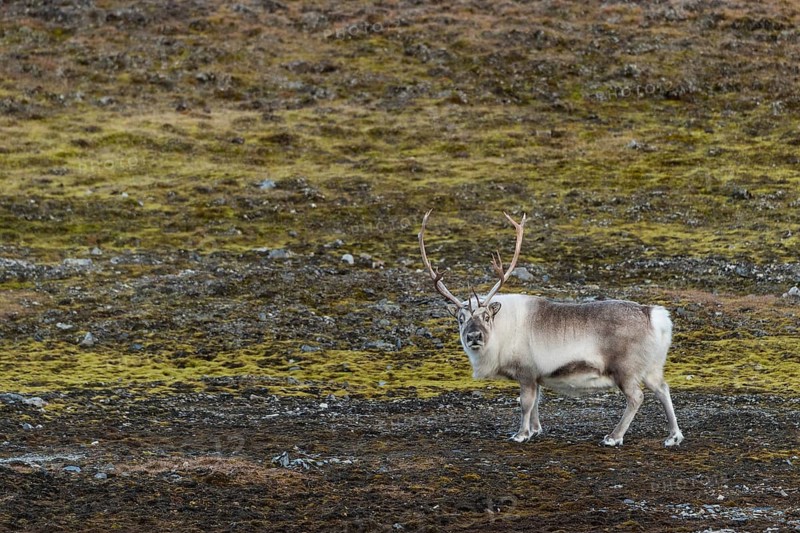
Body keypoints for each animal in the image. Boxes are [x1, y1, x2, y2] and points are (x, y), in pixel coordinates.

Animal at [418, 210, 684, 447]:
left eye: (485, 316)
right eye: (460, 318)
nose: (474, 336)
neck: (500, 334)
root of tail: (655, 315)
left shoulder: (526, 372)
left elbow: (525, 403)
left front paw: (521, 434)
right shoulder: (536, 376)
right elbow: (536, 402)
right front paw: (535, 430)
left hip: (626, 370)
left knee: (636, 397)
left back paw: (614, 437)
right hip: (651, 367)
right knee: (663, 389)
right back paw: (673, 436)